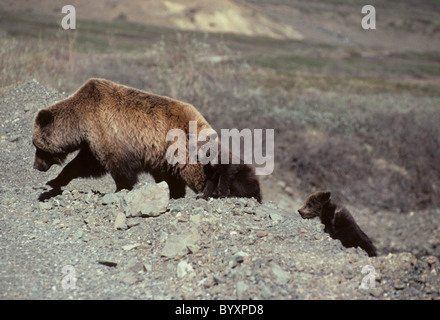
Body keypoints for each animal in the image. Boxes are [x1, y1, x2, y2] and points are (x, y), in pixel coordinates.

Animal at [31, 78, 211, 198]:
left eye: (37, 146)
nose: (36, 166)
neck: (79, 123)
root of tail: (202, 120)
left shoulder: (108, 132)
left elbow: (117, 166)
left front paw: (120, 188)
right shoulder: (92, 140)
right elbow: (83, 164)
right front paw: (54, 181)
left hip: (181, 148)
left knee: (195, 172)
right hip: (163, 158)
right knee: (171, 177)